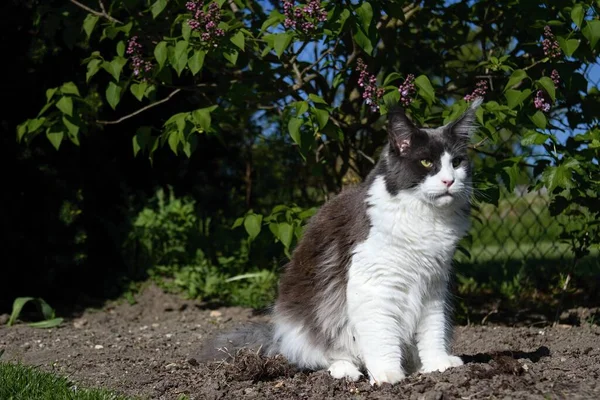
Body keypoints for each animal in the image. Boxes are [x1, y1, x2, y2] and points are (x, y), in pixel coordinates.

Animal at [199, 97, 486, 384]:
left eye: (457, 162)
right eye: (427, 163)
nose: (449, 180)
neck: (425, 217)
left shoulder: (433, 286)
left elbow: (432, 331)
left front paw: (437, 365)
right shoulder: (374, 285)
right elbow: (382, 336)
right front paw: (387, 375)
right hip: (308, 326)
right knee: (326, 355)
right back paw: (346, 371)